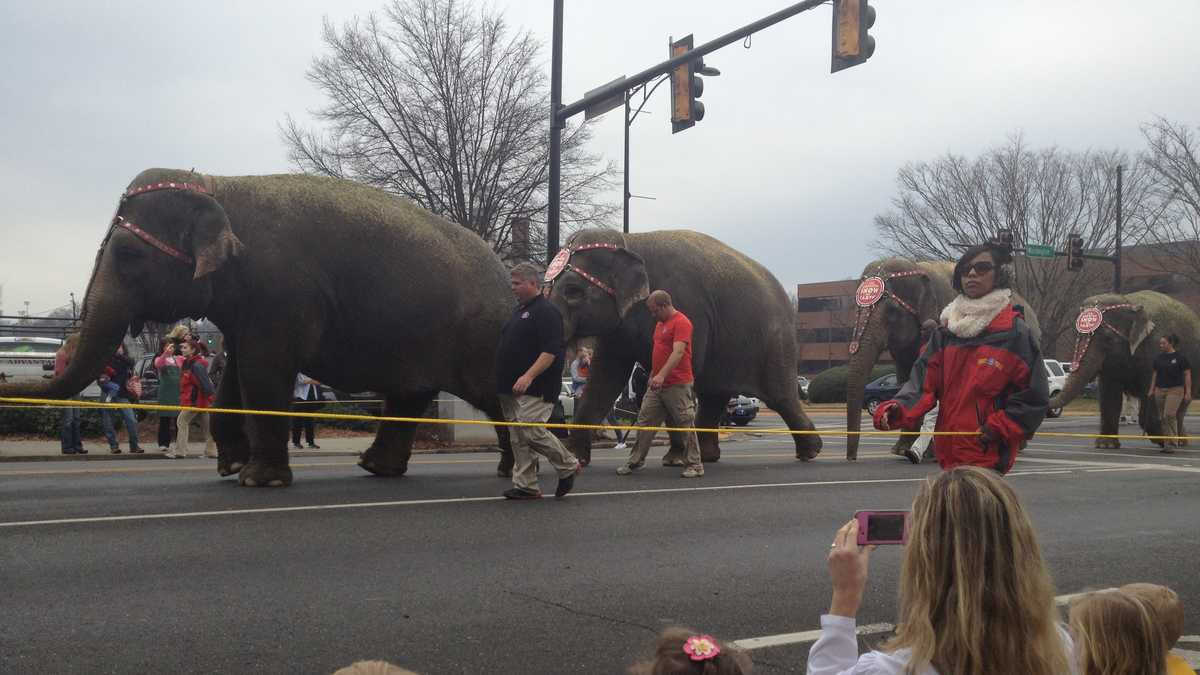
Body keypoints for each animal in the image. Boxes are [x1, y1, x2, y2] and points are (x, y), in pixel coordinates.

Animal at [0, 168, 511, 482]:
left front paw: (257, 480)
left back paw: (511, 471)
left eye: (127, 253)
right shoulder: (246, 307)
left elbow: (263, 370)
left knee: (493, 393)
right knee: (410, 393)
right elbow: (235, 373)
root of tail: (504, 275)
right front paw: (229, 469)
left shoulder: (280, 290)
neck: (218, 186)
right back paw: (376, 468)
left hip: (481, 338)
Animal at [547, 225, 820, 461]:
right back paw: (708, 456)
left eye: (573, 292)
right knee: (713, 396)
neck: (630, 240)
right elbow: (605, 378)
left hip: (776, 342)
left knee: (780, 396)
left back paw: (811, 452)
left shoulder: (689, 310)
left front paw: (675, 459)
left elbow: (673, 373)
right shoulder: (619, 329)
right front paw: (576, 458)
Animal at [1046, 289, 1195, 446]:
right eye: (1078, 336)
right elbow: (1109, 393)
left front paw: (1161, 438)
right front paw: (1106, 445)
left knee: (1180, 405)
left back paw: (1178, 442)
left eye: (1107, 339)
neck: (1129, 302)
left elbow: (1152, 391)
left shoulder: (1154, 349)